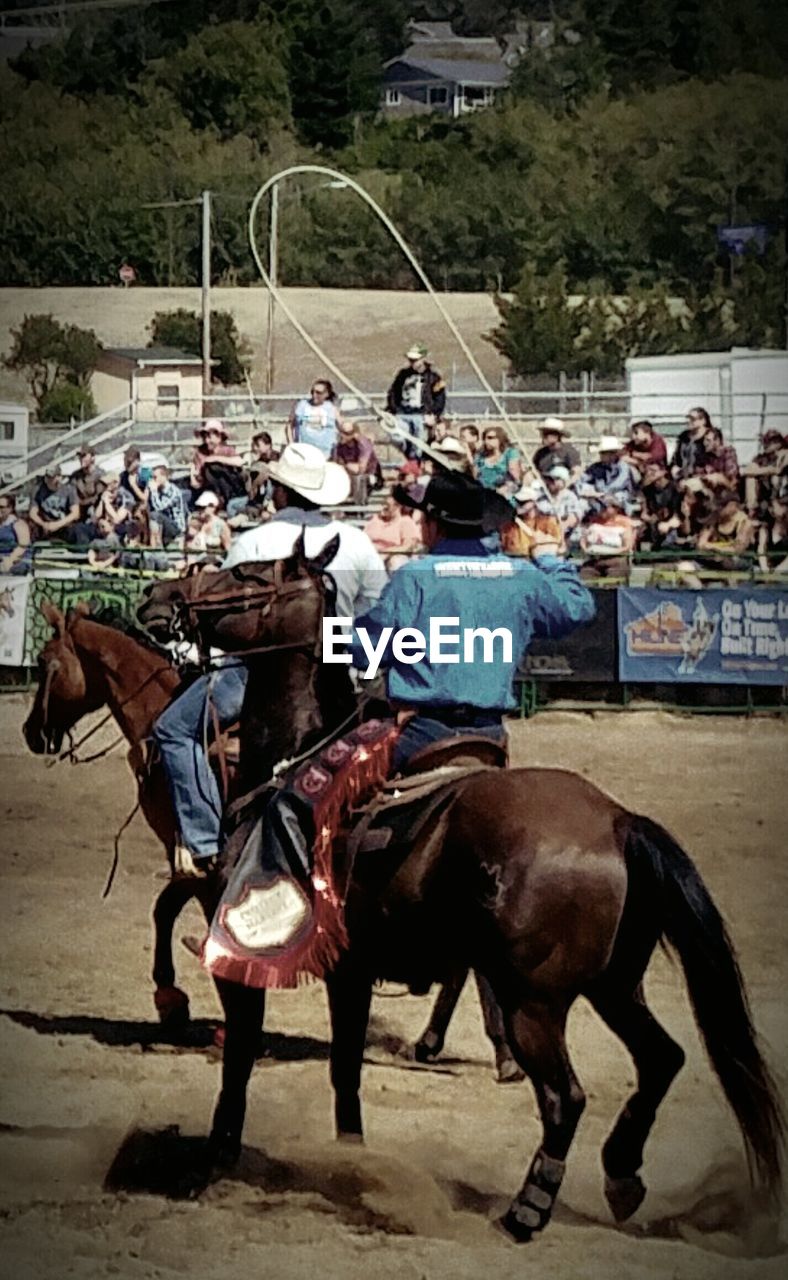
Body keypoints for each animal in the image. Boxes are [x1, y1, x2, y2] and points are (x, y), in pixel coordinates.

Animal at [138, 547, 782, 1239]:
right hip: (614, 985)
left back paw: (527, 1210)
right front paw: (352, 1163)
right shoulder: (350, 972)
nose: (157, 597)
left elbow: (240, 1060)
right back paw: (621, 1175)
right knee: (663, 1059)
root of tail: (616, 821)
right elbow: (345, 1071)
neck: (290, 762)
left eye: (247, 574)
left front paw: (215, 1160)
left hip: (536, 1002)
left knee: (566, 1097)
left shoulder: (241, 962)